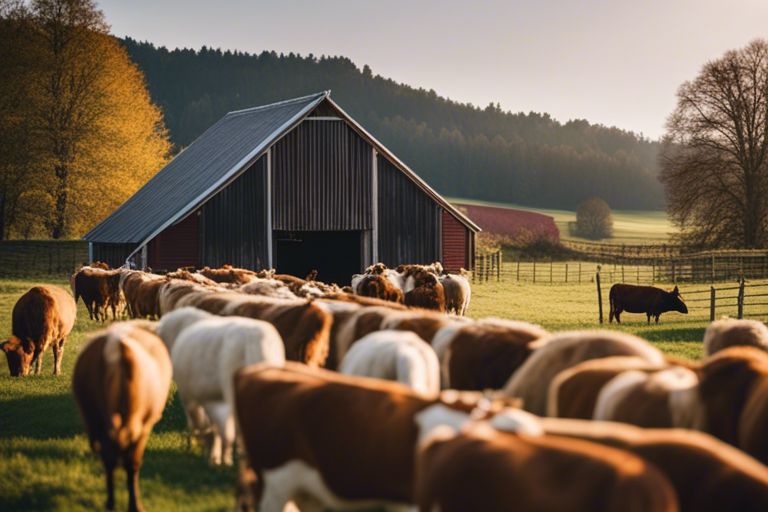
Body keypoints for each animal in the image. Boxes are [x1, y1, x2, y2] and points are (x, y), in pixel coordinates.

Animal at [72, 322, 172, 510]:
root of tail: (116, 343)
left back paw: (112, 502)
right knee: (122, 460)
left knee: (109, 458)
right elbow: (132, 464)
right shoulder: (145, 427)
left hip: (98, 419)